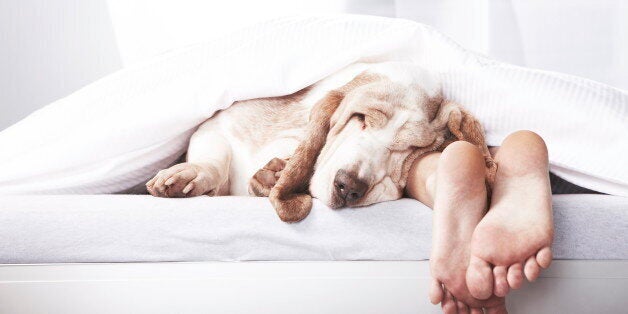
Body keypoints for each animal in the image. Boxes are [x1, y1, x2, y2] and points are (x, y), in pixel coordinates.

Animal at [147, 62, 496, 222]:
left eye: (412, 149)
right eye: (360, 118)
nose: (349, 186)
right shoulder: (218, 124)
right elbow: (215, 156)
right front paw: (188, 175)